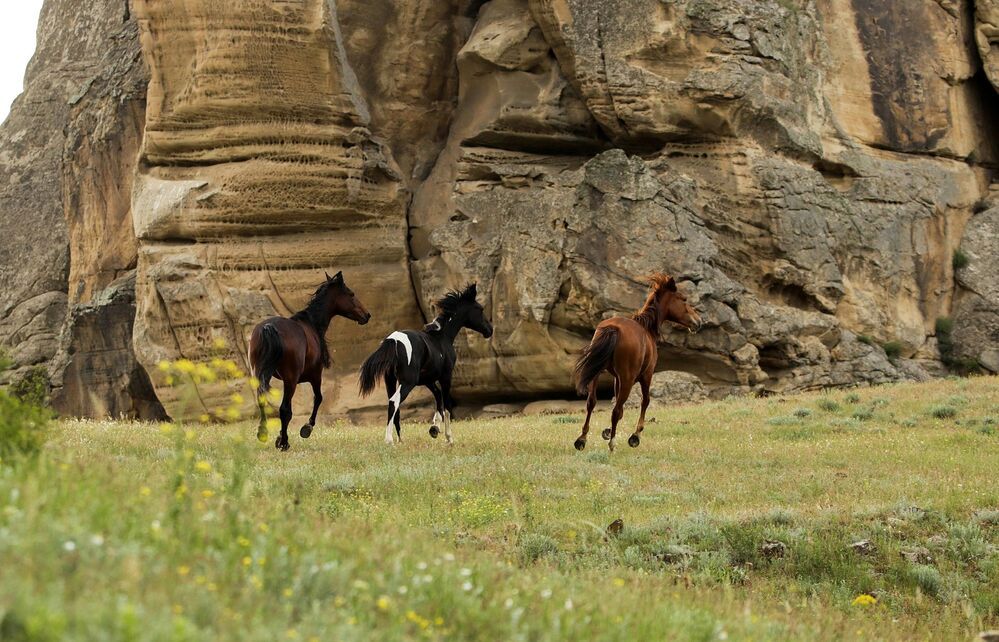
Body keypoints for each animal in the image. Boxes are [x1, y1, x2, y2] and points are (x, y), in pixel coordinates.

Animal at [248, 271, 371, 451]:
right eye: (351, 294)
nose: (367, 315)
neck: (311, 324)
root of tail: (269, 327)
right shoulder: (315, 376)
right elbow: (318, 398)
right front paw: (306, 428)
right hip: (291, 381)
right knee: (285, 410)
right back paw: (284, 442)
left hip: (259, 375)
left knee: (262, 401)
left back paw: (264, 433)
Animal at [358, 283, 493, 446]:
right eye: (480, 309)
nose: (490, 330)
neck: (441, 338)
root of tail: (393, 340)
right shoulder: (446, 376)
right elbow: (447, 404)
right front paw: (448, 438)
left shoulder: (428, 380)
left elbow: (438, 397)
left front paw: (434, 428)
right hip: (407, 382)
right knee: (394, 401)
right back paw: (389, 440)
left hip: (390, 381)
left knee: (394, 405)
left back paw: (400, 440)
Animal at [572, 274, 703, 452]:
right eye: (683, 299)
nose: (698, 321)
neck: (647, 328)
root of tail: (614, 329)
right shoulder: (646, 375)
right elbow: (644, 401)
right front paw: (635, 436)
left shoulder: (617, 378)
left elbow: (619, 406)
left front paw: (607, 431)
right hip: (627, 379)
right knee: (615, 409)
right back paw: (612, 444)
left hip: (596, 374)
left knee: (592, 403)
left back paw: (582, 439)